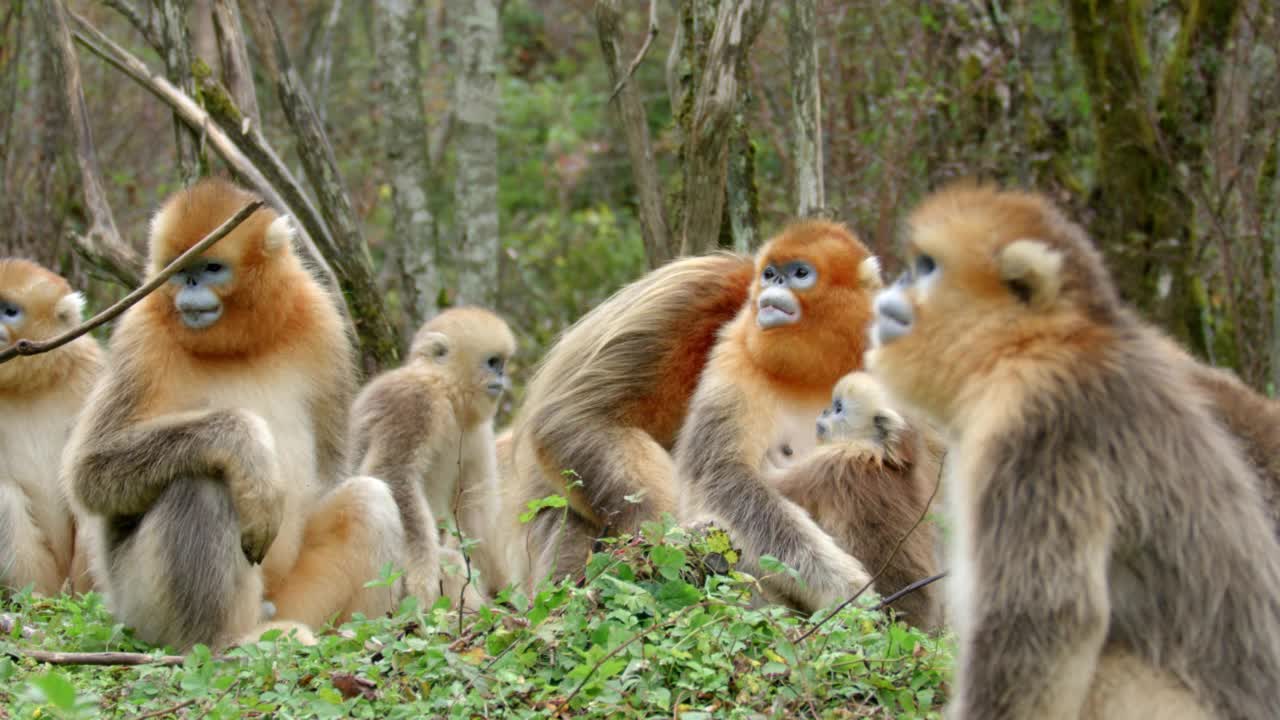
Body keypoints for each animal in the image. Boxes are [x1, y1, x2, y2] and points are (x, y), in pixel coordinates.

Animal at [64, 179, 401, 650]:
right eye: (179, 269)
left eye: (210, 268)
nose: (188, 285)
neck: (237, 346)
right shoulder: (141, 334)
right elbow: (89, 472)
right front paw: (249, 450)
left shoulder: (321, 321)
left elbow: (334, 470)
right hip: (138, 604)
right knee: (202, 483)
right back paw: (225, 643)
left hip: (293, 595)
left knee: (369, 499)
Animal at [353, 304, 517, 602]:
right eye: (492, 362)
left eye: (502, 363)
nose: (502, 378)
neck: (444, 391)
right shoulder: (413, 402)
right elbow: (392, 476)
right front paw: (422, 581)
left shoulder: (477, 432)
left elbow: (473, 507)